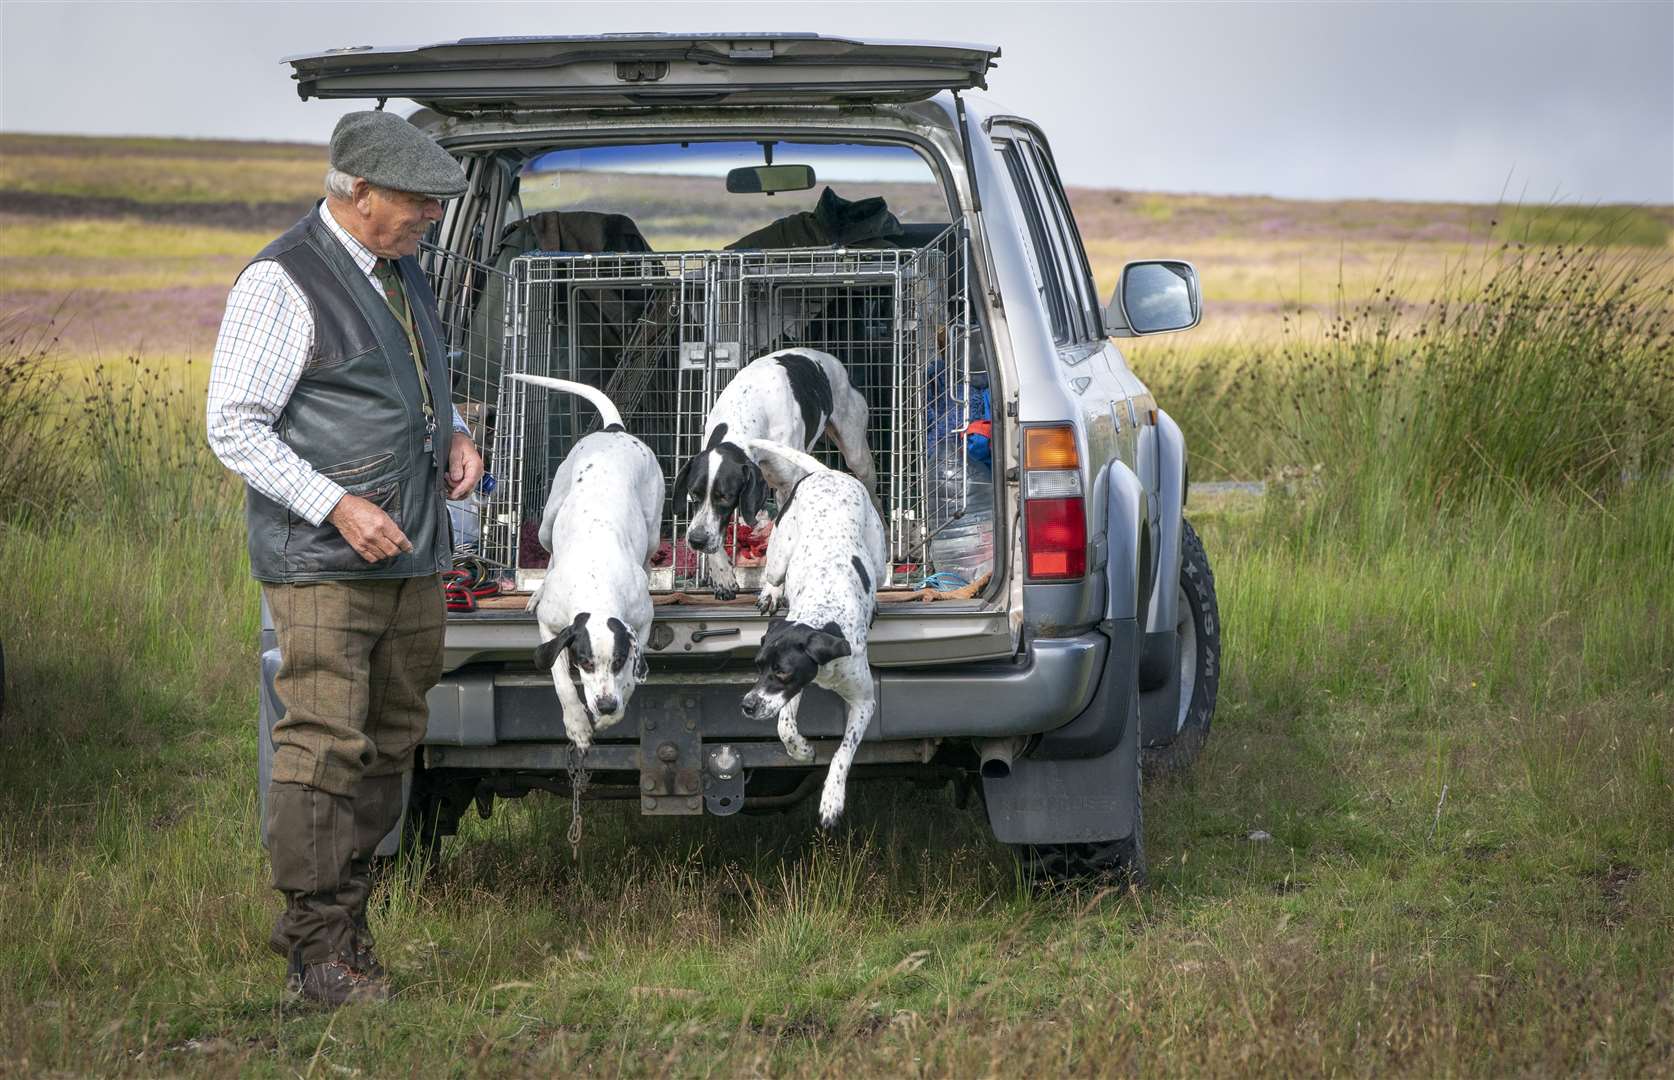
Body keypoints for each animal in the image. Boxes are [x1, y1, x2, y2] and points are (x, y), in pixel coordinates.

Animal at [508, 375, 666, 753]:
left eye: (618, 661)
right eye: (585, 662)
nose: (606, 704)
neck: (597, 581)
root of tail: (613, 430)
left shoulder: (641, 622)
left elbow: (630, 678)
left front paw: (612, 713)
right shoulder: (550, 626)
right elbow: (561, 679)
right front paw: (577, 724)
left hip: (653, 529)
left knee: (648, 555)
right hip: (548, 521)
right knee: (550, 555)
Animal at [666, 344, 883, 599]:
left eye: (726, 497)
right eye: (693, 494)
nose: (697, 541)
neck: (745, 408)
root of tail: (827, 356)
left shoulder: (787, 488)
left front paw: (773, 590)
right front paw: (722, 574)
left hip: (857, 454)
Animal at [736, 438, 890, 827]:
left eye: (781, 672)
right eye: (757, 666)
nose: (746, 705)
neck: (825, 615)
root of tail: (828, 473)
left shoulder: (864, 702)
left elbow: (843, 752)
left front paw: (832, 800)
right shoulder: (793, 691)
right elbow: (785, 728)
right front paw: (803, 751)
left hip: (879, 559)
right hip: (778, 554)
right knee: (773, 575)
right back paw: (771, 593)